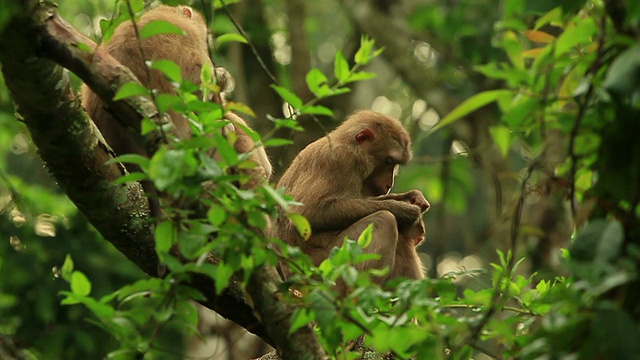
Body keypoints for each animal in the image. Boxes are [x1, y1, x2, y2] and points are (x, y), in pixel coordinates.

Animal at [276, 110, 430, 292]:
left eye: (394, 164)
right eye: (389, 162)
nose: (389, 184)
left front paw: (411, 198)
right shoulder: (339, 158)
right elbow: (309, 213)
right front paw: (405, 211)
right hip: (326, 269)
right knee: (384, 220)